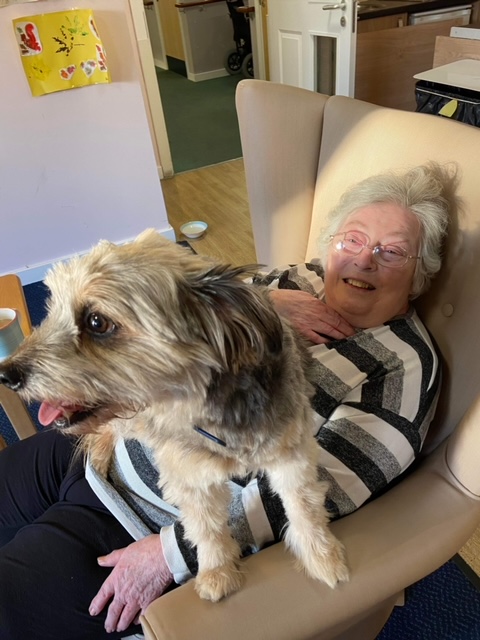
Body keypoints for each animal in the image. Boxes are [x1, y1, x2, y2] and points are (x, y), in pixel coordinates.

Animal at [0, 232, 346, 604]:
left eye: (96, 322)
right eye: (52, 309)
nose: (7, 374)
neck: (207, 412)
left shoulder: (291, 451)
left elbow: (303, 506)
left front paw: (322, 558)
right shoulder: (188, 476)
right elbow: (206, 528)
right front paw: (216, 572)